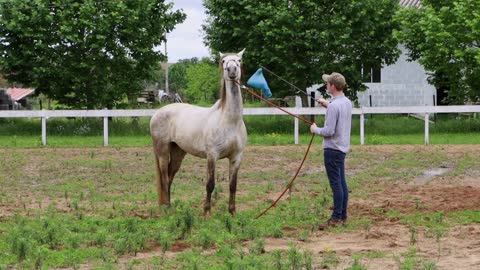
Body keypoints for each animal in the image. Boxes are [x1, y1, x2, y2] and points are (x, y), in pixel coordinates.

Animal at [150, 49, 248, 216]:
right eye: (223, 61)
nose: (231, 70)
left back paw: (170, 206)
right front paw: (206, 212)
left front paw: (232, 213)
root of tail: (157, 113)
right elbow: (210, 184)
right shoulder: (212, 156)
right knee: (164, 178)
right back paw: (166, 209)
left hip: (178, 153)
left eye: (239, 60)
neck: (229, 121)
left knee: (170, 177)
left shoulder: (236, 157)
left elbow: (233, 185)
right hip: (162, 152)